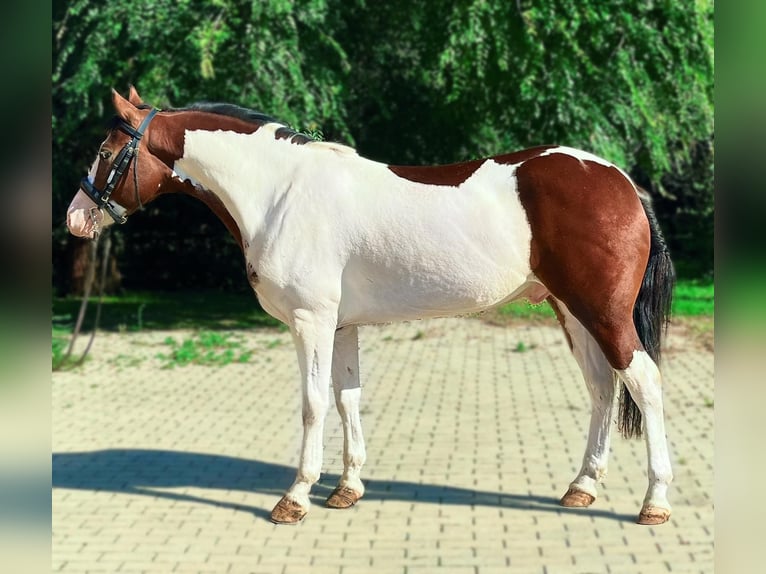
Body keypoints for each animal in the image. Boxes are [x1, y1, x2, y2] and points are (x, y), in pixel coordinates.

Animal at [67, 86, 680, 528]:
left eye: (104, 152)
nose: (75, 219)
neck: (279, 194)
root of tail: (621, 181)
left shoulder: (311, 322)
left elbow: (314, 404)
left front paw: (295, 498)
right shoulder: (341, 326)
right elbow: (347, 399)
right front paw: (346, 489)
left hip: (603, 313)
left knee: (645, 383)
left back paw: (653, 502)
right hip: (571, 312)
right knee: (602, 387)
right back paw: (582, 488)